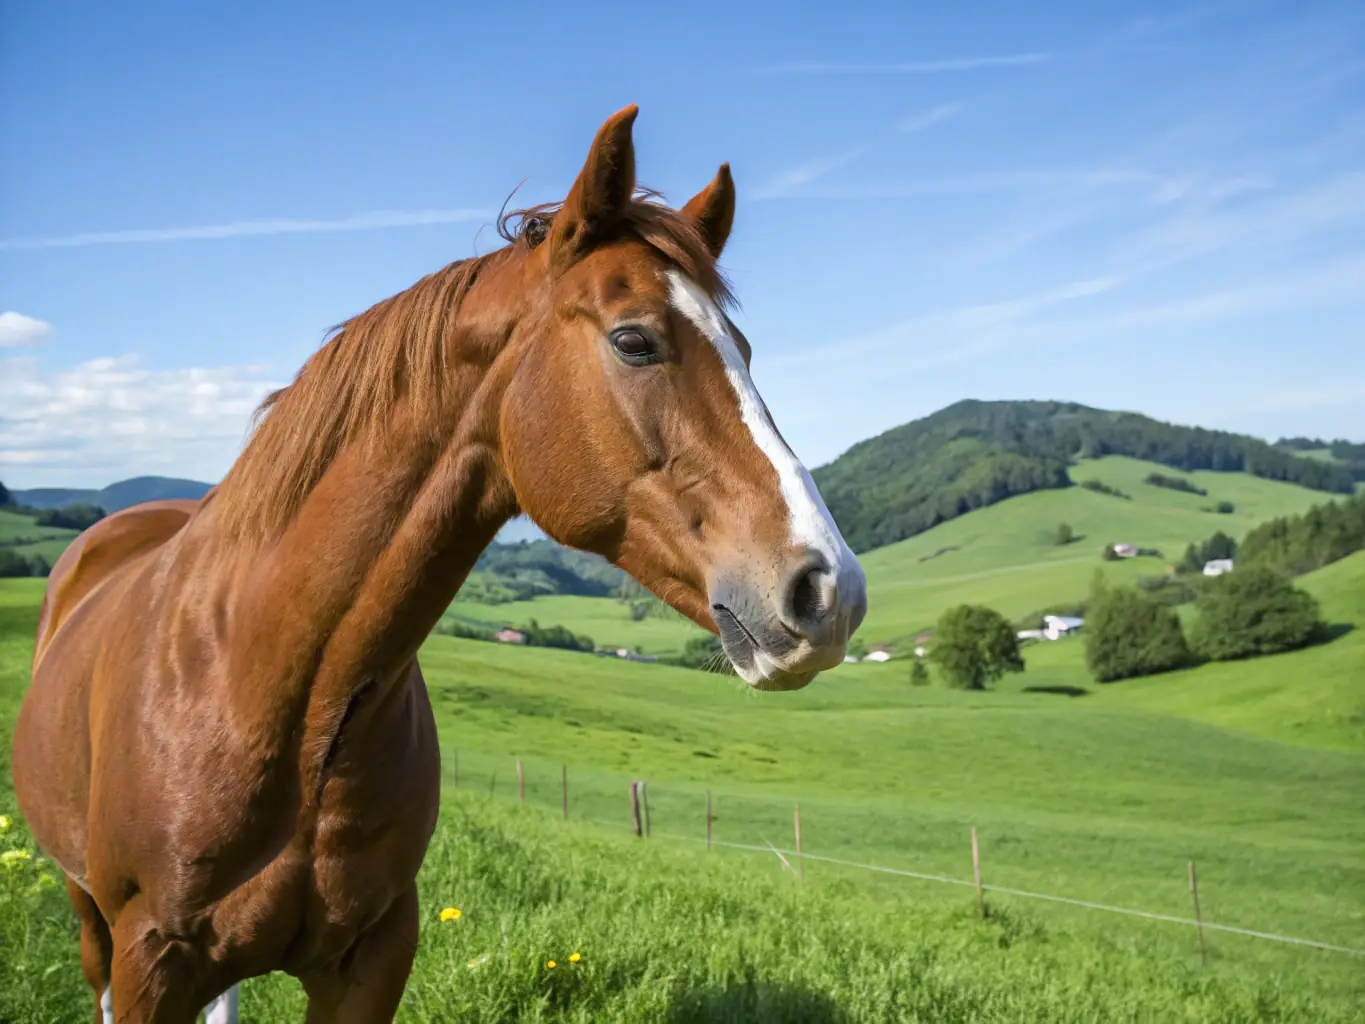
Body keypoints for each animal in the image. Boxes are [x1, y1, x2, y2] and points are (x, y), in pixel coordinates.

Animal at [11, 104, 868, 1022]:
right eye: (634, 341)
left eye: (743, 347)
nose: (831, 591)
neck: (272, 692)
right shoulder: (151, 961)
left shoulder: (373, 956)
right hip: (92, 921)